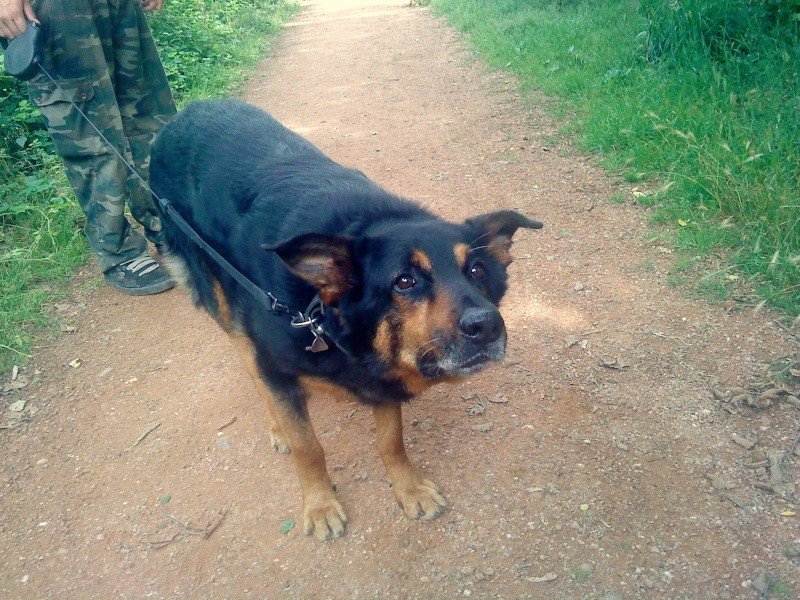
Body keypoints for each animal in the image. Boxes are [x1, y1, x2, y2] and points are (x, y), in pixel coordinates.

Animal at [148, 98, 544, 540]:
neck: (322, 315)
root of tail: (179, 118)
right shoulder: (277, 364)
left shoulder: (381, 380)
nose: (487, 325)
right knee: (249, 362)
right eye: (404, 281)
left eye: (476, 271)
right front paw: (319, 505)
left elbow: (391, 440)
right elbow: (308, 447)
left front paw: (408, 488)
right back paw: (277, 424)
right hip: (221, 295)